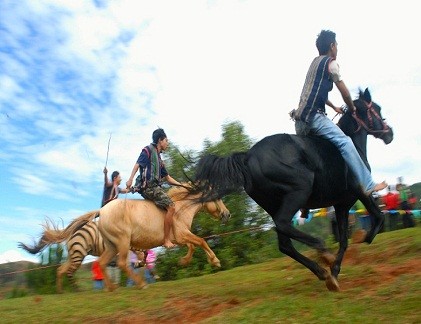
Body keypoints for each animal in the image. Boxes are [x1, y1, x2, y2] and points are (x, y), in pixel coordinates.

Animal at [195, 88, 392, 292]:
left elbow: (344, 240)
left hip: (274, 204)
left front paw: (335, 272)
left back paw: (322, 271)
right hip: (299, 191)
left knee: (284, 243)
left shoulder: (341, 205)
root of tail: (247, 156)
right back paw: (323, 252)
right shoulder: (360, 193)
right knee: (283, 225)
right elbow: (377, 216)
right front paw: (364, 239)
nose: (389, 133)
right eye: (377, 109)